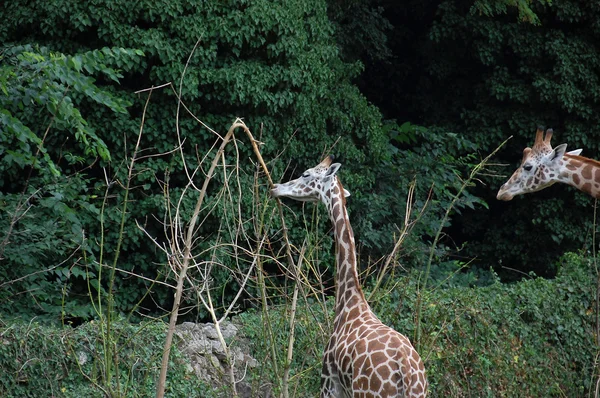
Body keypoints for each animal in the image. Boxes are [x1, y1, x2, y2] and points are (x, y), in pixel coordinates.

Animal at [272, 155, 426, 398]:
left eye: (306, 174)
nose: (275, 188)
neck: (349, 299)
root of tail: (406, 372)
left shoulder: (329, 383)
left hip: (365, 392)